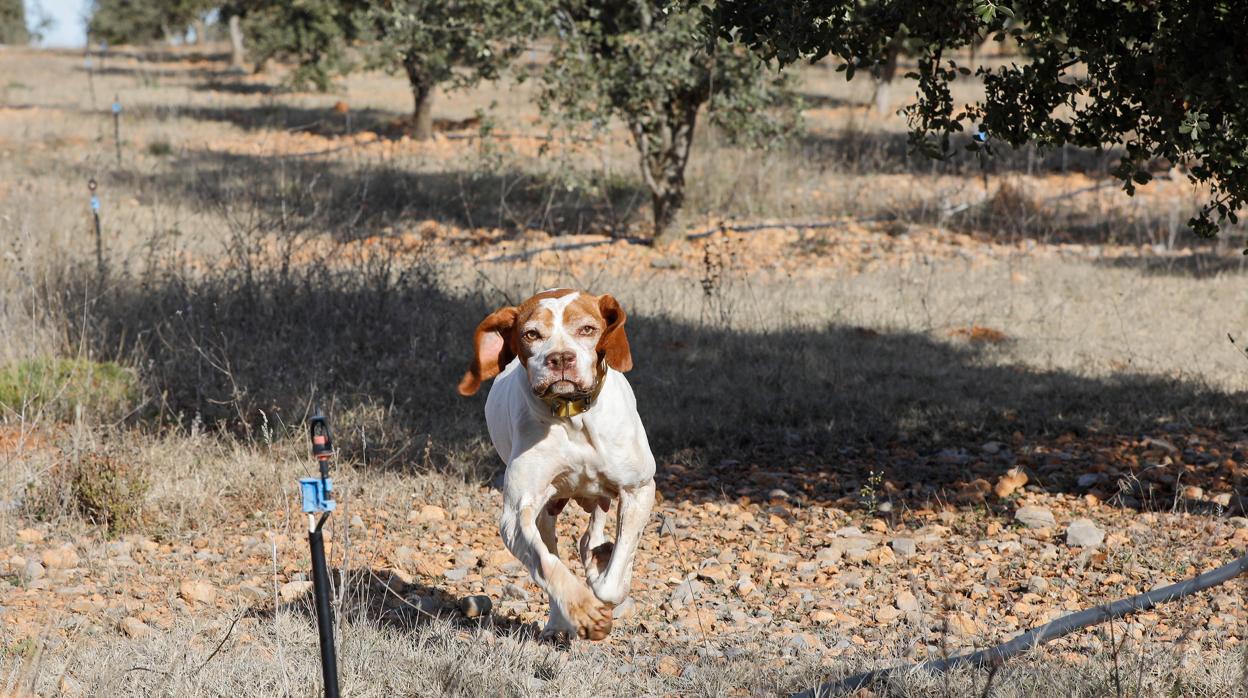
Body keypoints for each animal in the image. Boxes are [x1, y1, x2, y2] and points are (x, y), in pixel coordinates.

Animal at [456, 287, 653, 644]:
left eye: (587, 329)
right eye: (531, 334)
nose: (560, 358)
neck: (573, 418)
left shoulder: (639, 489)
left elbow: (615, 577)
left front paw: (603, 580)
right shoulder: (516, 514)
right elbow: (546, 564)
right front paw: (583, 610)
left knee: (593, 538)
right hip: (546, 512)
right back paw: (560, 619)